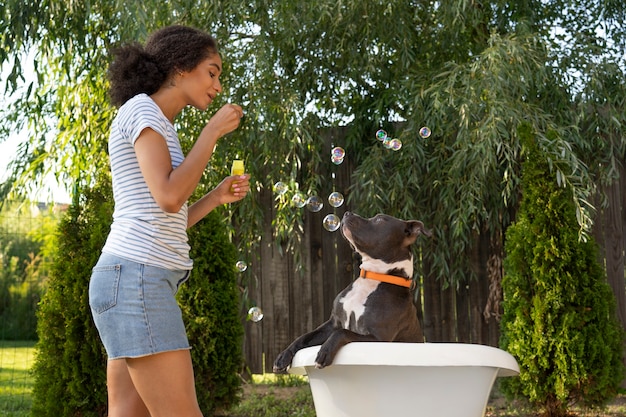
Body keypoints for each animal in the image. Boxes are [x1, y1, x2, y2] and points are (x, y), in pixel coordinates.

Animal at [270, 211, 432, 370]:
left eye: (380, 219)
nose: (347, 213)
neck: (374, 278)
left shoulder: (378, 338)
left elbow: (342, 332)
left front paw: (324, 352)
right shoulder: (332, 323)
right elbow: (304, 337)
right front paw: (284, 355)